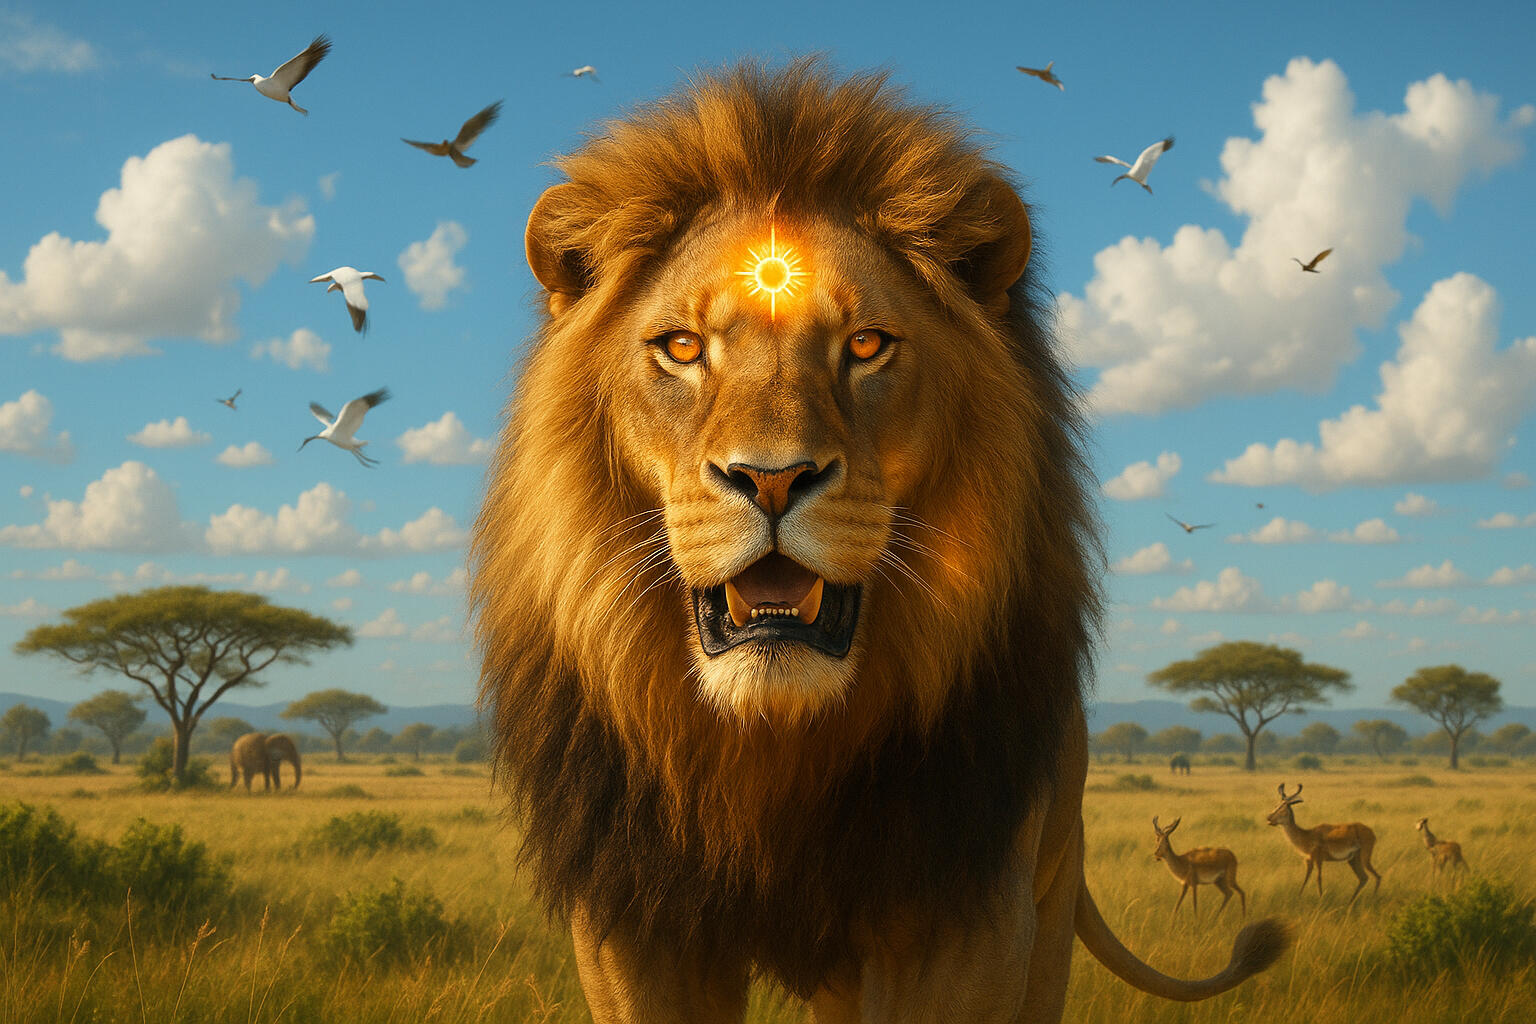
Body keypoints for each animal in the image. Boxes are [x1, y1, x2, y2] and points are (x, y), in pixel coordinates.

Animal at [471, 59, 1287, 1022]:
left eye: (865, 346)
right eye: (681, 348)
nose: (772, 479)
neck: (772, 750)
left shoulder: (970, 915)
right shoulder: (630, 919)